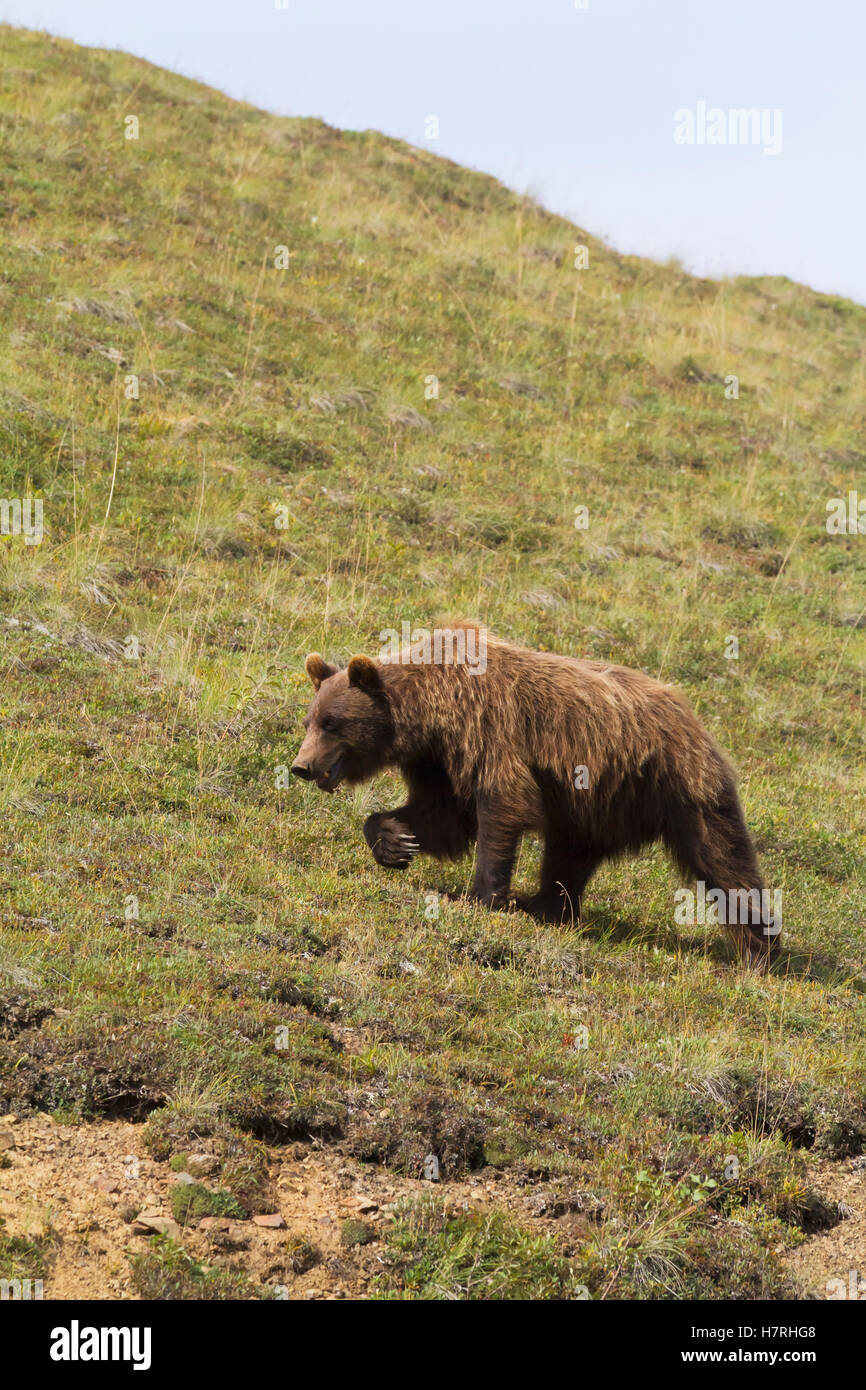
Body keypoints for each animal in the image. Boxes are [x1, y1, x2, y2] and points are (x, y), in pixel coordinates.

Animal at [293, 625, 778, 961]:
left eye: (332, 722)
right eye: (310, 720)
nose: (302, 766)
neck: (432, 715)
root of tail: (689, 711)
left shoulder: (489, 732)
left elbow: (500, 806)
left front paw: (483, 894)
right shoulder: (436, 761)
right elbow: (443, 817)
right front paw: (395, 840)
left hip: (678, 784)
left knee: (722, 856)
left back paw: (760, 949)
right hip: (595, 801)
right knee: (569, 855)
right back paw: (545, 904)